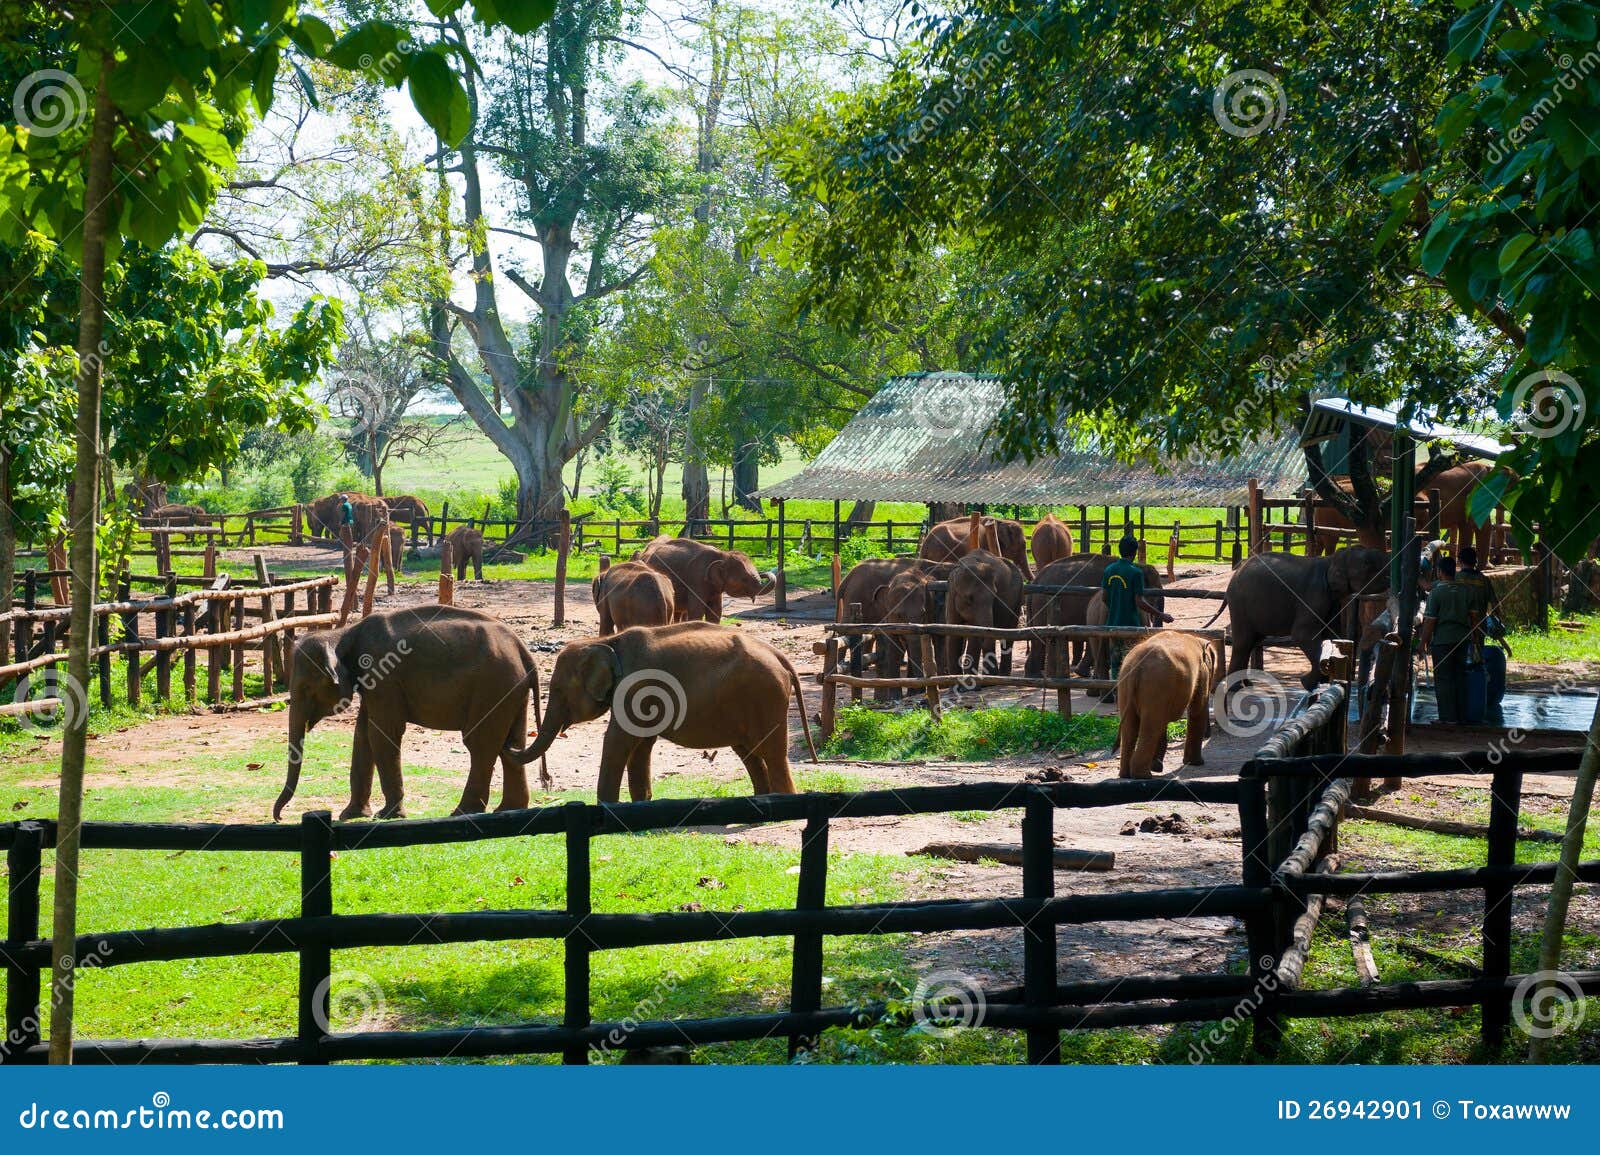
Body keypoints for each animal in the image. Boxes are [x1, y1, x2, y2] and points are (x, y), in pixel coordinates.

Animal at [272, 605, 548, 822]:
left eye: (306, 689)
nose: (279, 817)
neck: (342, 632)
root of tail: (524, 651)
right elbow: (362, 735)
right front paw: (351, 815)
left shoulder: (384, 675)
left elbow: (382, 733)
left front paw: (387, 815)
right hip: (511, 689)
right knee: (511, 743)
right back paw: (508, 809)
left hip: (492, 686)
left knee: (480, 745)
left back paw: (462, 812)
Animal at [513, 621, 819, 802]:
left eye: (559, 690)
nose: (510, 745)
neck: (608, 641)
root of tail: (780, 656)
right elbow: (641, 745)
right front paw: (641, 804)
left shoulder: (634, 689)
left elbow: (618, 740)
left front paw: (606, 808)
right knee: (749, 752)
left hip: (765, 697)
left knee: (771, 752)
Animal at [637, 535, 773, 622]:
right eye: (744, 579)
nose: (764, 573)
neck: (722, 555)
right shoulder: (696, 580)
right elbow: (697, 610)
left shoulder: (715, 586)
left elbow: (716, 612)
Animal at [1116, 632, 1218, 779]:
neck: (1198, 640)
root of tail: (1138, 665)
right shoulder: (1202, 672)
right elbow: (1197, 709)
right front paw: (1196, 763)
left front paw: (1157, 767)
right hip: (1156, 684)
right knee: (1151, 726)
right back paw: (1143, 776)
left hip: (1125, 685)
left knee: (1131, 727)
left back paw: (1126, 775)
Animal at [1207, 546, 1390, 690]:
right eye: (1367, 564)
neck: (1331, 560)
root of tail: (1235, 575)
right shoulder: (1314, 594)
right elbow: (1303, 635)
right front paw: (1308, 684)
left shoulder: (1331, 602)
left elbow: (1332, 634)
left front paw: (1319, 682)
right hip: (1240, 605)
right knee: (1244, 642)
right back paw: (1236, 688)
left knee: (1252, 641)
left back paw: (1247, 684)